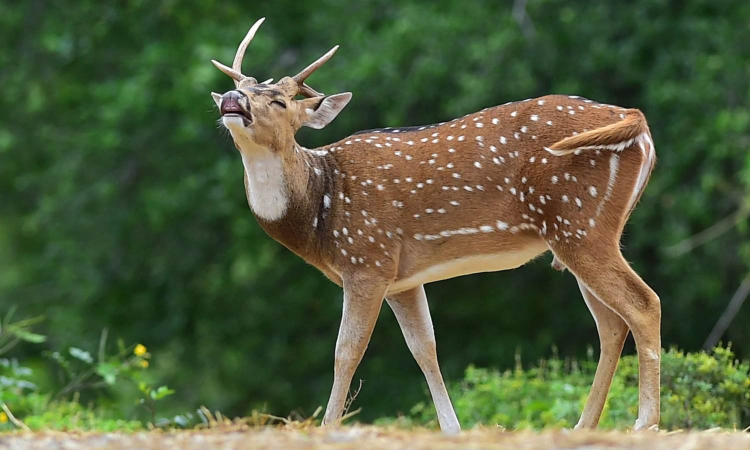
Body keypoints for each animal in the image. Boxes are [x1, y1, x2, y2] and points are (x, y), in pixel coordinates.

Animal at [210, 18, 660, 434]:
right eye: (244, 87)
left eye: (280, 101)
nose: (232, 97)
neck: (322, 206)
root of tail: (636, 119)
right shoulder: (402, 278)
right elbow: (425, 347)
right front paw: (452, 428)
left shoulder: (366, 258)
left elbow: (346, 351)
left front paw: (329, 427)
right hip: (584, 231)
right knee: (611, 325)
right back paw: (584, 426)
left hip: (579, 220)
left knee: (643, 304)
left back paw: (645, 423)